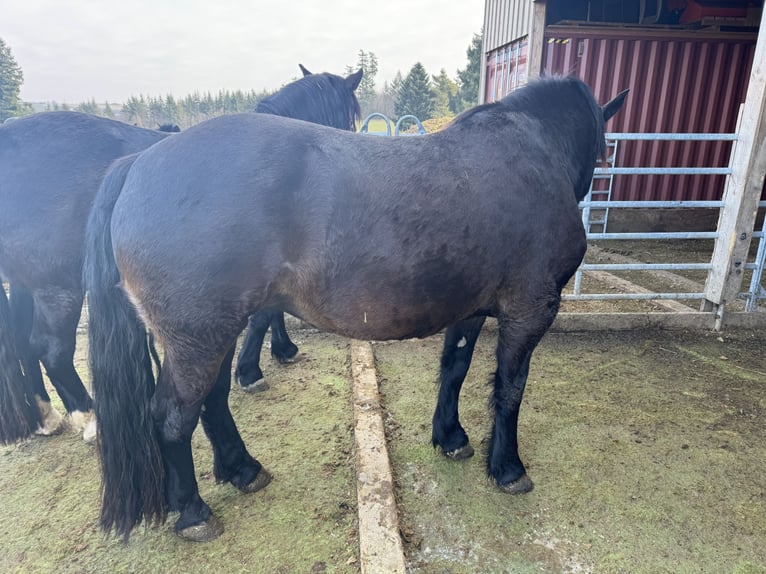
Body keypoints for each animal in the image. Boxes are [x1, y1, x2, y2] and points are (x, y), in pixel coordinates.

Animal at [0, 66, 364, 446]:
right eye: (349, 117)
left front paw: (281, 349)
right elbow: (263, 317)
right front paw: (251, 370)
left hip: (27, 283)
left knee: (24, 343)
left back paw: (46, 416)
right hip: (58, 288)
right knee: (51, 349)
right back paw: (90, 419)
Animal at [84, 75, 628, 540]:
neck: (531, 150)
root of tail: (139, 164)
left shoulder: (471, 309)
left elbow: (455, 367)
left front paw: (451, 437)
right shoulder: (529, 310)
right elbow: (511, 390)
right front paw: (508, 467)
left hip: (212, 331)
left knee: (212, 402)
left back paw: (243, 470)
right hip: (197, 335)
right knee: (172, 416)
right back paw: (194, 513)